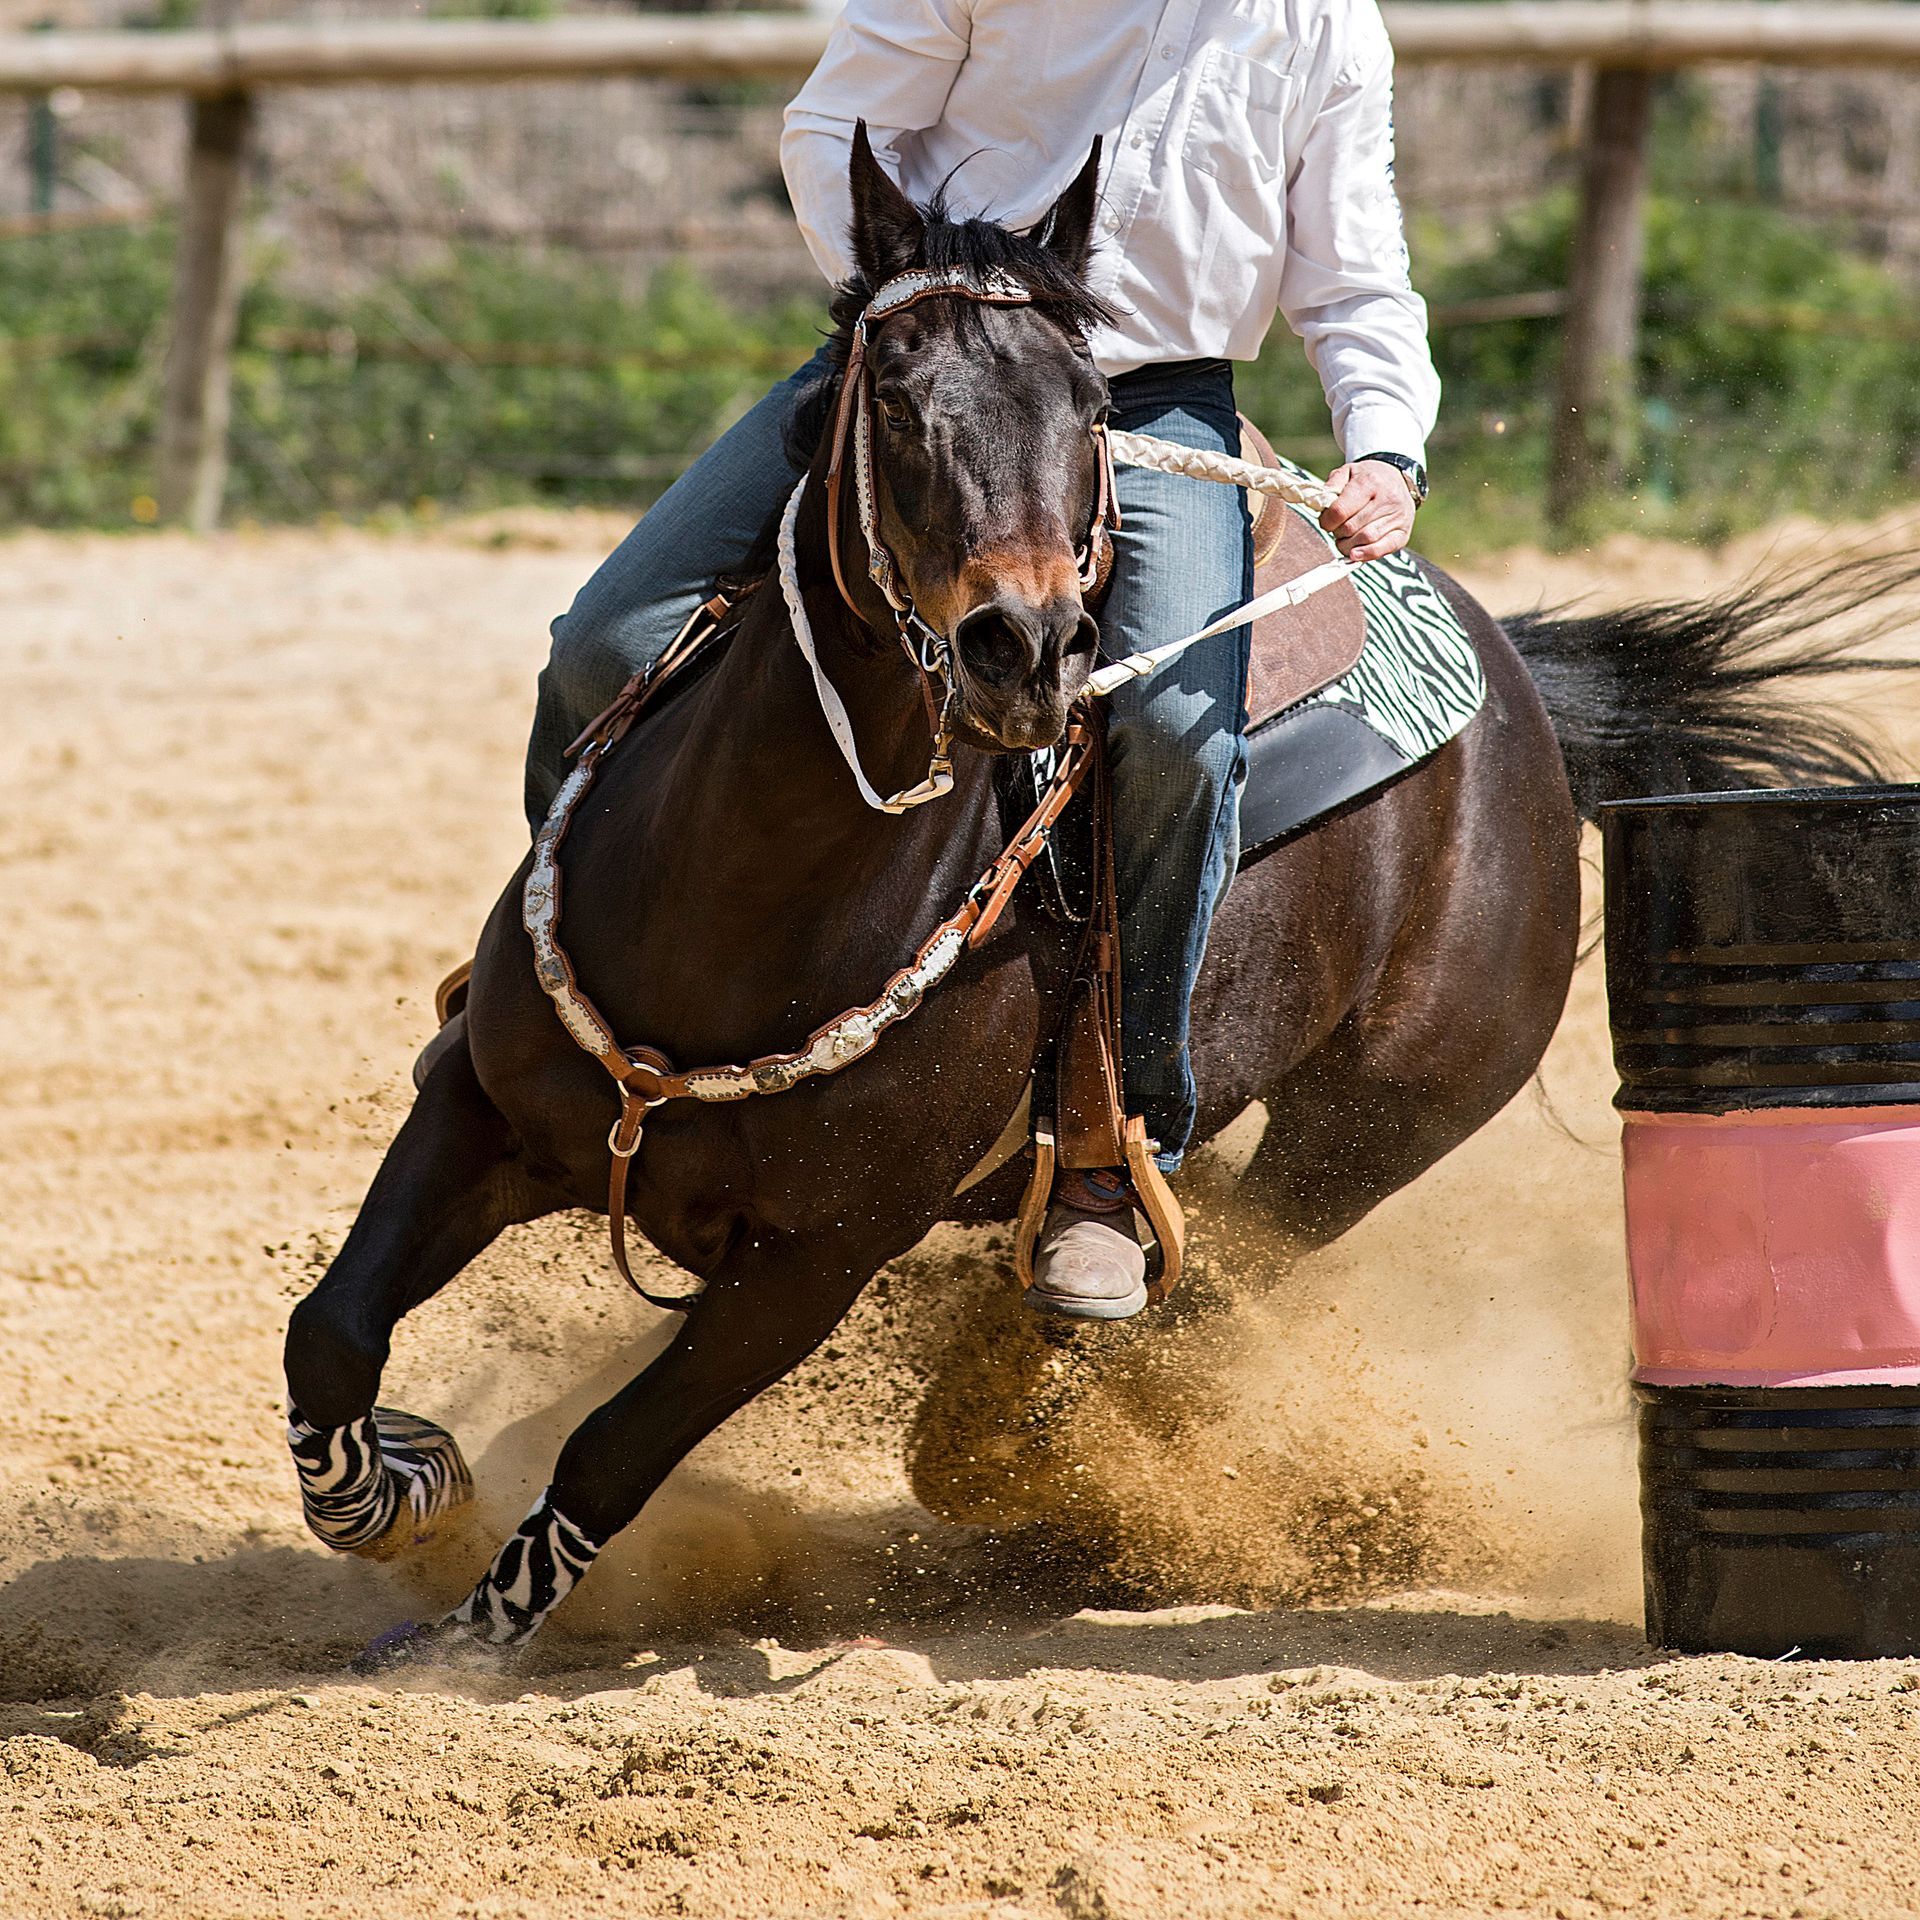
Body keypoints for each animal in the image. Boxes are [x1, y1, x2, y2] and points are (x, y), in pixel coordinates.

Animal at [284, 134, 1894, 1659]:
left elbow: (614, 1451)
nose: (1026, 647)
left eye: (1085, 406)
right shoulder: (480, 1111)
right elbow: (332, 1336)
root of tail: (1519, 696)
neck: (739, 908)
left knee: (1212, 1275)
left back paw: (1020, 1422)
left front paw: (469, 1635)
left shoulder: (809, 1269)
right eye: (893, 399)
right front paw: (411, 1484)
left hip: (1370, 1128)